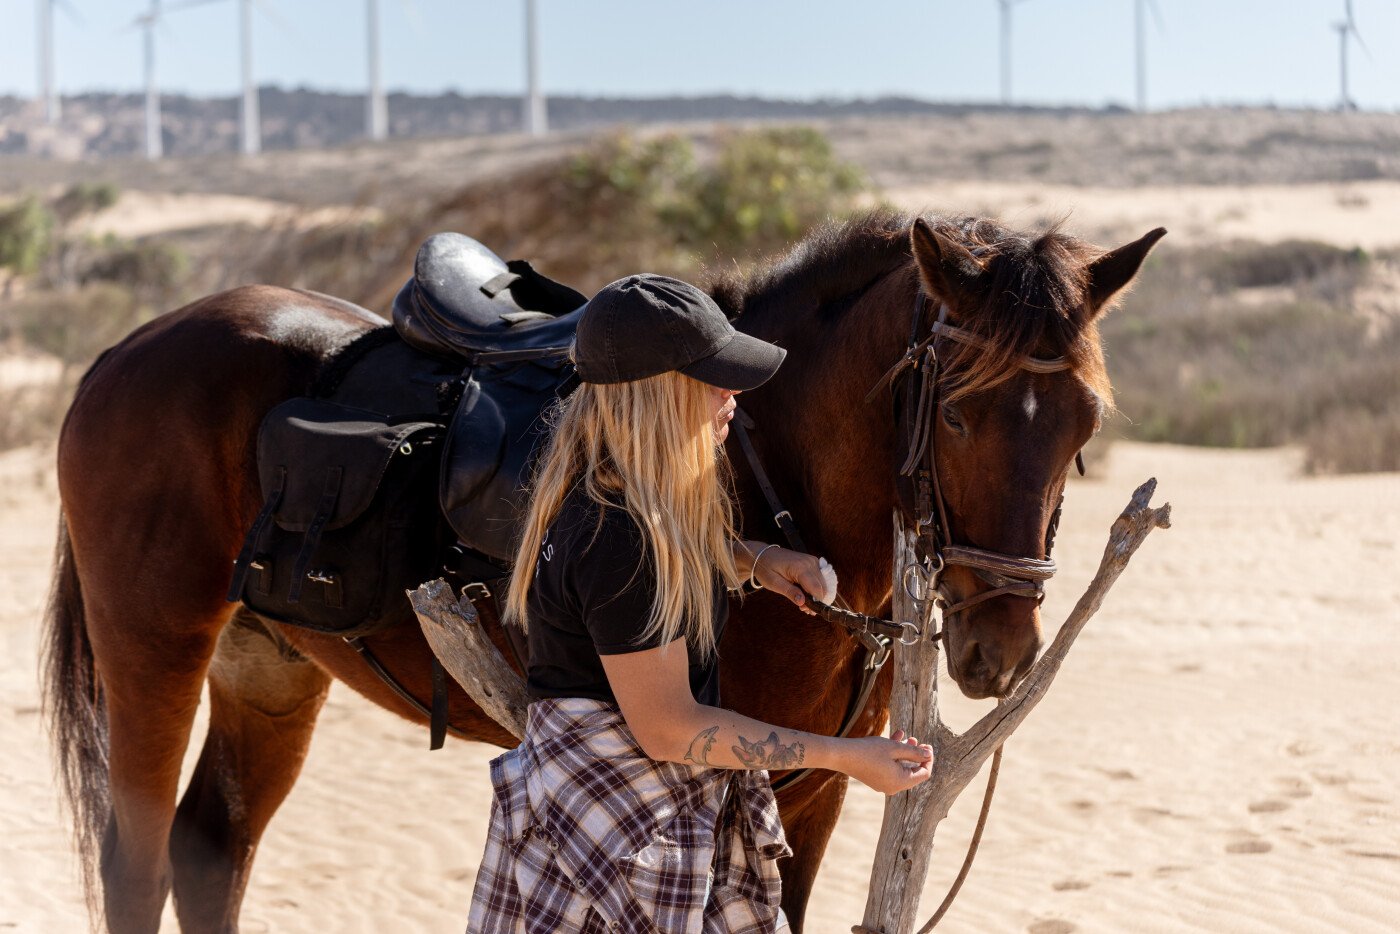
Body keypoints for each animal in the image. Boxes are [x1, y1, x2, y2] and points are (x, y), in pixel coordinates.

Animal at [40, 211, 1159, 934]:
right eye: (960, 414)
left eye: (1082, 426)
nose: (998, 648)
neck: (758, 470)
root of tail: (122, 354)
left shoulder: (813, 794)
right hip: (154, 648)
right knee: (137, 862)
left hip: (269, 666)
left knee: (211, 851)